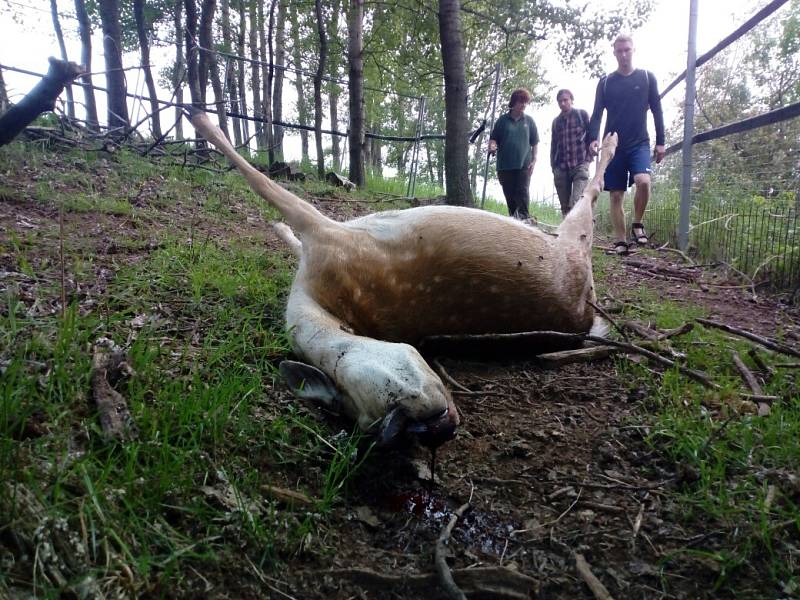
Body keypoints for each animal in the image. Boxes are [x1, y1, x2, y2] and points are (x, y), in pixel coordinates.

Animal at [188, 106, 620, 446]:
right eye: (383, 419)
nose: (438, 430)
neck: (312, 298)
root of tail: (588, 313)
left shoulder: (328, 232)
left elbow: (264, 183)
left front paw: (199, 117)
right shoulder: (324, 240)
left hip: (573, 241)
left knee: (590, 191)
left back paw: (609, 141)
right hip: (574, 245)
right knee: (588, 197)